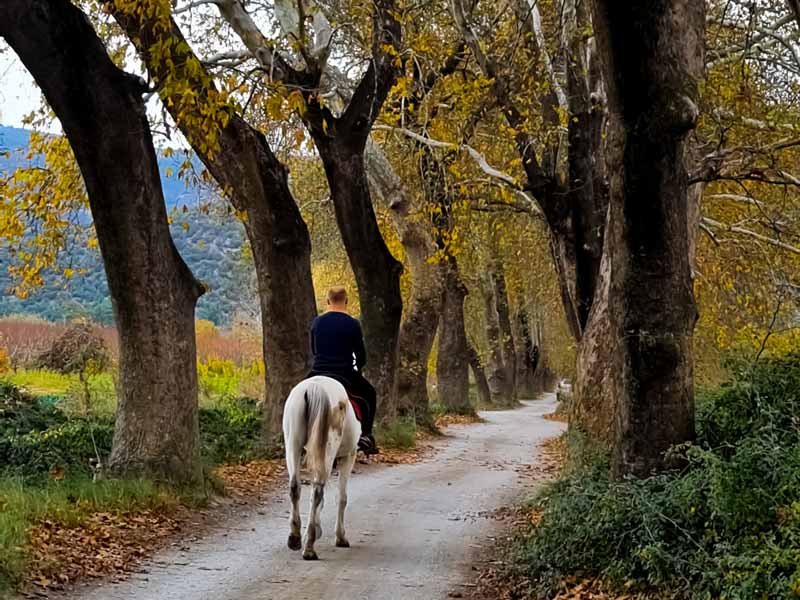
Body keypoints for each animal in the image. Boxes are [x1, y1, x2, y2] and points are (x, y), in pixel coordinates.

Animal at [280, 378, 358, 560]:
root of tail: (314, 388)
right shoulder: (348, 457)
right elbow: (341, 498)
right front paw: (340, 537)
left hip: (293, 446)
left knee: (295, 487)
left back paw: (295, 538)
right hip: (328, 451)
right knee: (317, 491)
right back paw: (309, 547)